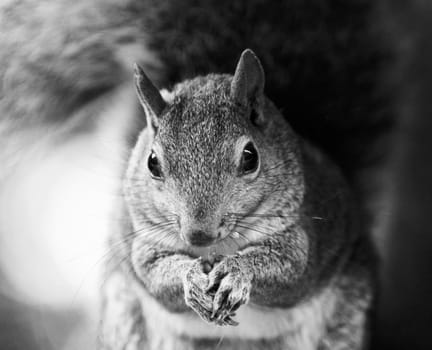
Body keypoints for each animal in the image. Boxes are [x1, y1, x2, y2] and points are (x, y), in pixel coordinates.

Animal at [99, 50, 376, 350]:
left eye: (250, 157)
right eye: (152, 162)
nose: (198, 234)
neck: (217, 247)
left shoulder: (299, 236)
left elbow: (291, 269)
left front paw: (237, 272)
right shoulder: (145, 243)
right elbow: (154, 276)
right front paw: (191, 278)